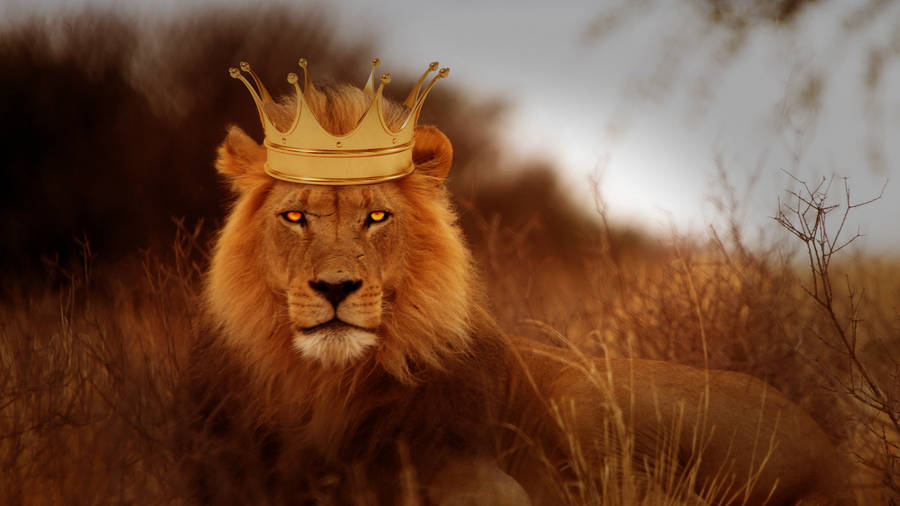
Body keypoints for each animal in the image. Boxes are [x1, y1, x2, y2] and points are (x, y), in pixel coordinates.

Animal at [176, 82, 852, 506]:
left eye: (376, 217)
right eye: (295, 218)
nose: (336, 286)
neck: (328, 386)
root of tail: (828, 452)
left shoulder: (489, 479)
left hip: (585, 397)